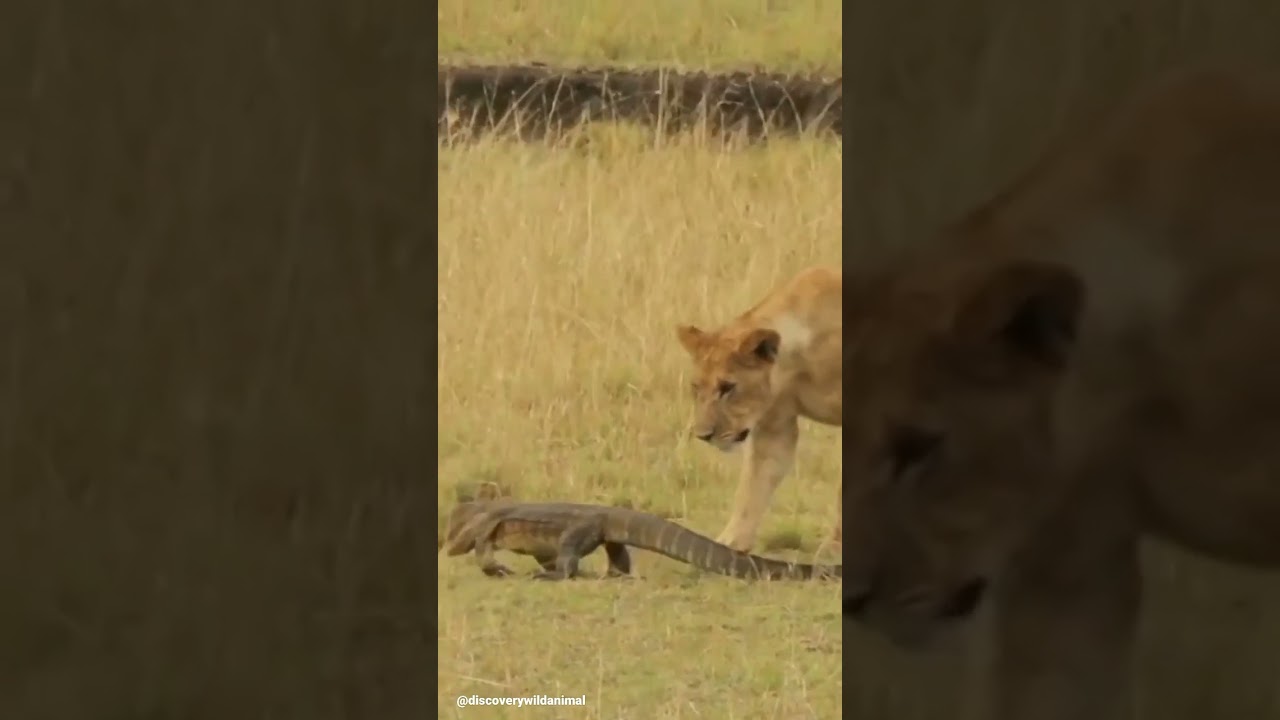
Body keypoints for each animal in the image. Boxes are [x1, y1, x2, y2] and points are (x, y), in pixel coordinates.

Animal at [675, 265, 842, 552]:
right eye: (697, 387)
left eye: (728, 387)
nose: (703, 435)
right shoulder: (775, 424)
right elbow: (753, 486)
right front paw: (729, 543)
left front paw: (836, 545)